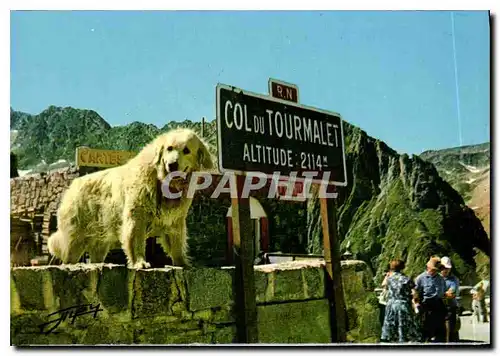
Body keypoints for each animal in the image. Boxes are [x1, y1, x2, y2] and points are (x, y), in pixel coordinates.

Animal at [46, 129, 212, 268]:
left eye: (186, 150)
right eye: (169, 148)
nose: (172, 165)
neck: (164, 183)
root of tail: (72, 185)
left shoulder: (175, 220)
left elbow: (176, 242)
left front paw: (183, 262)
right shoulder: (136, 215)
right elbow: (136, 239)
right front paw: (140, 262)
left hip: (100, 238)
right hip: (76, 235)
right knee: (68, 253)